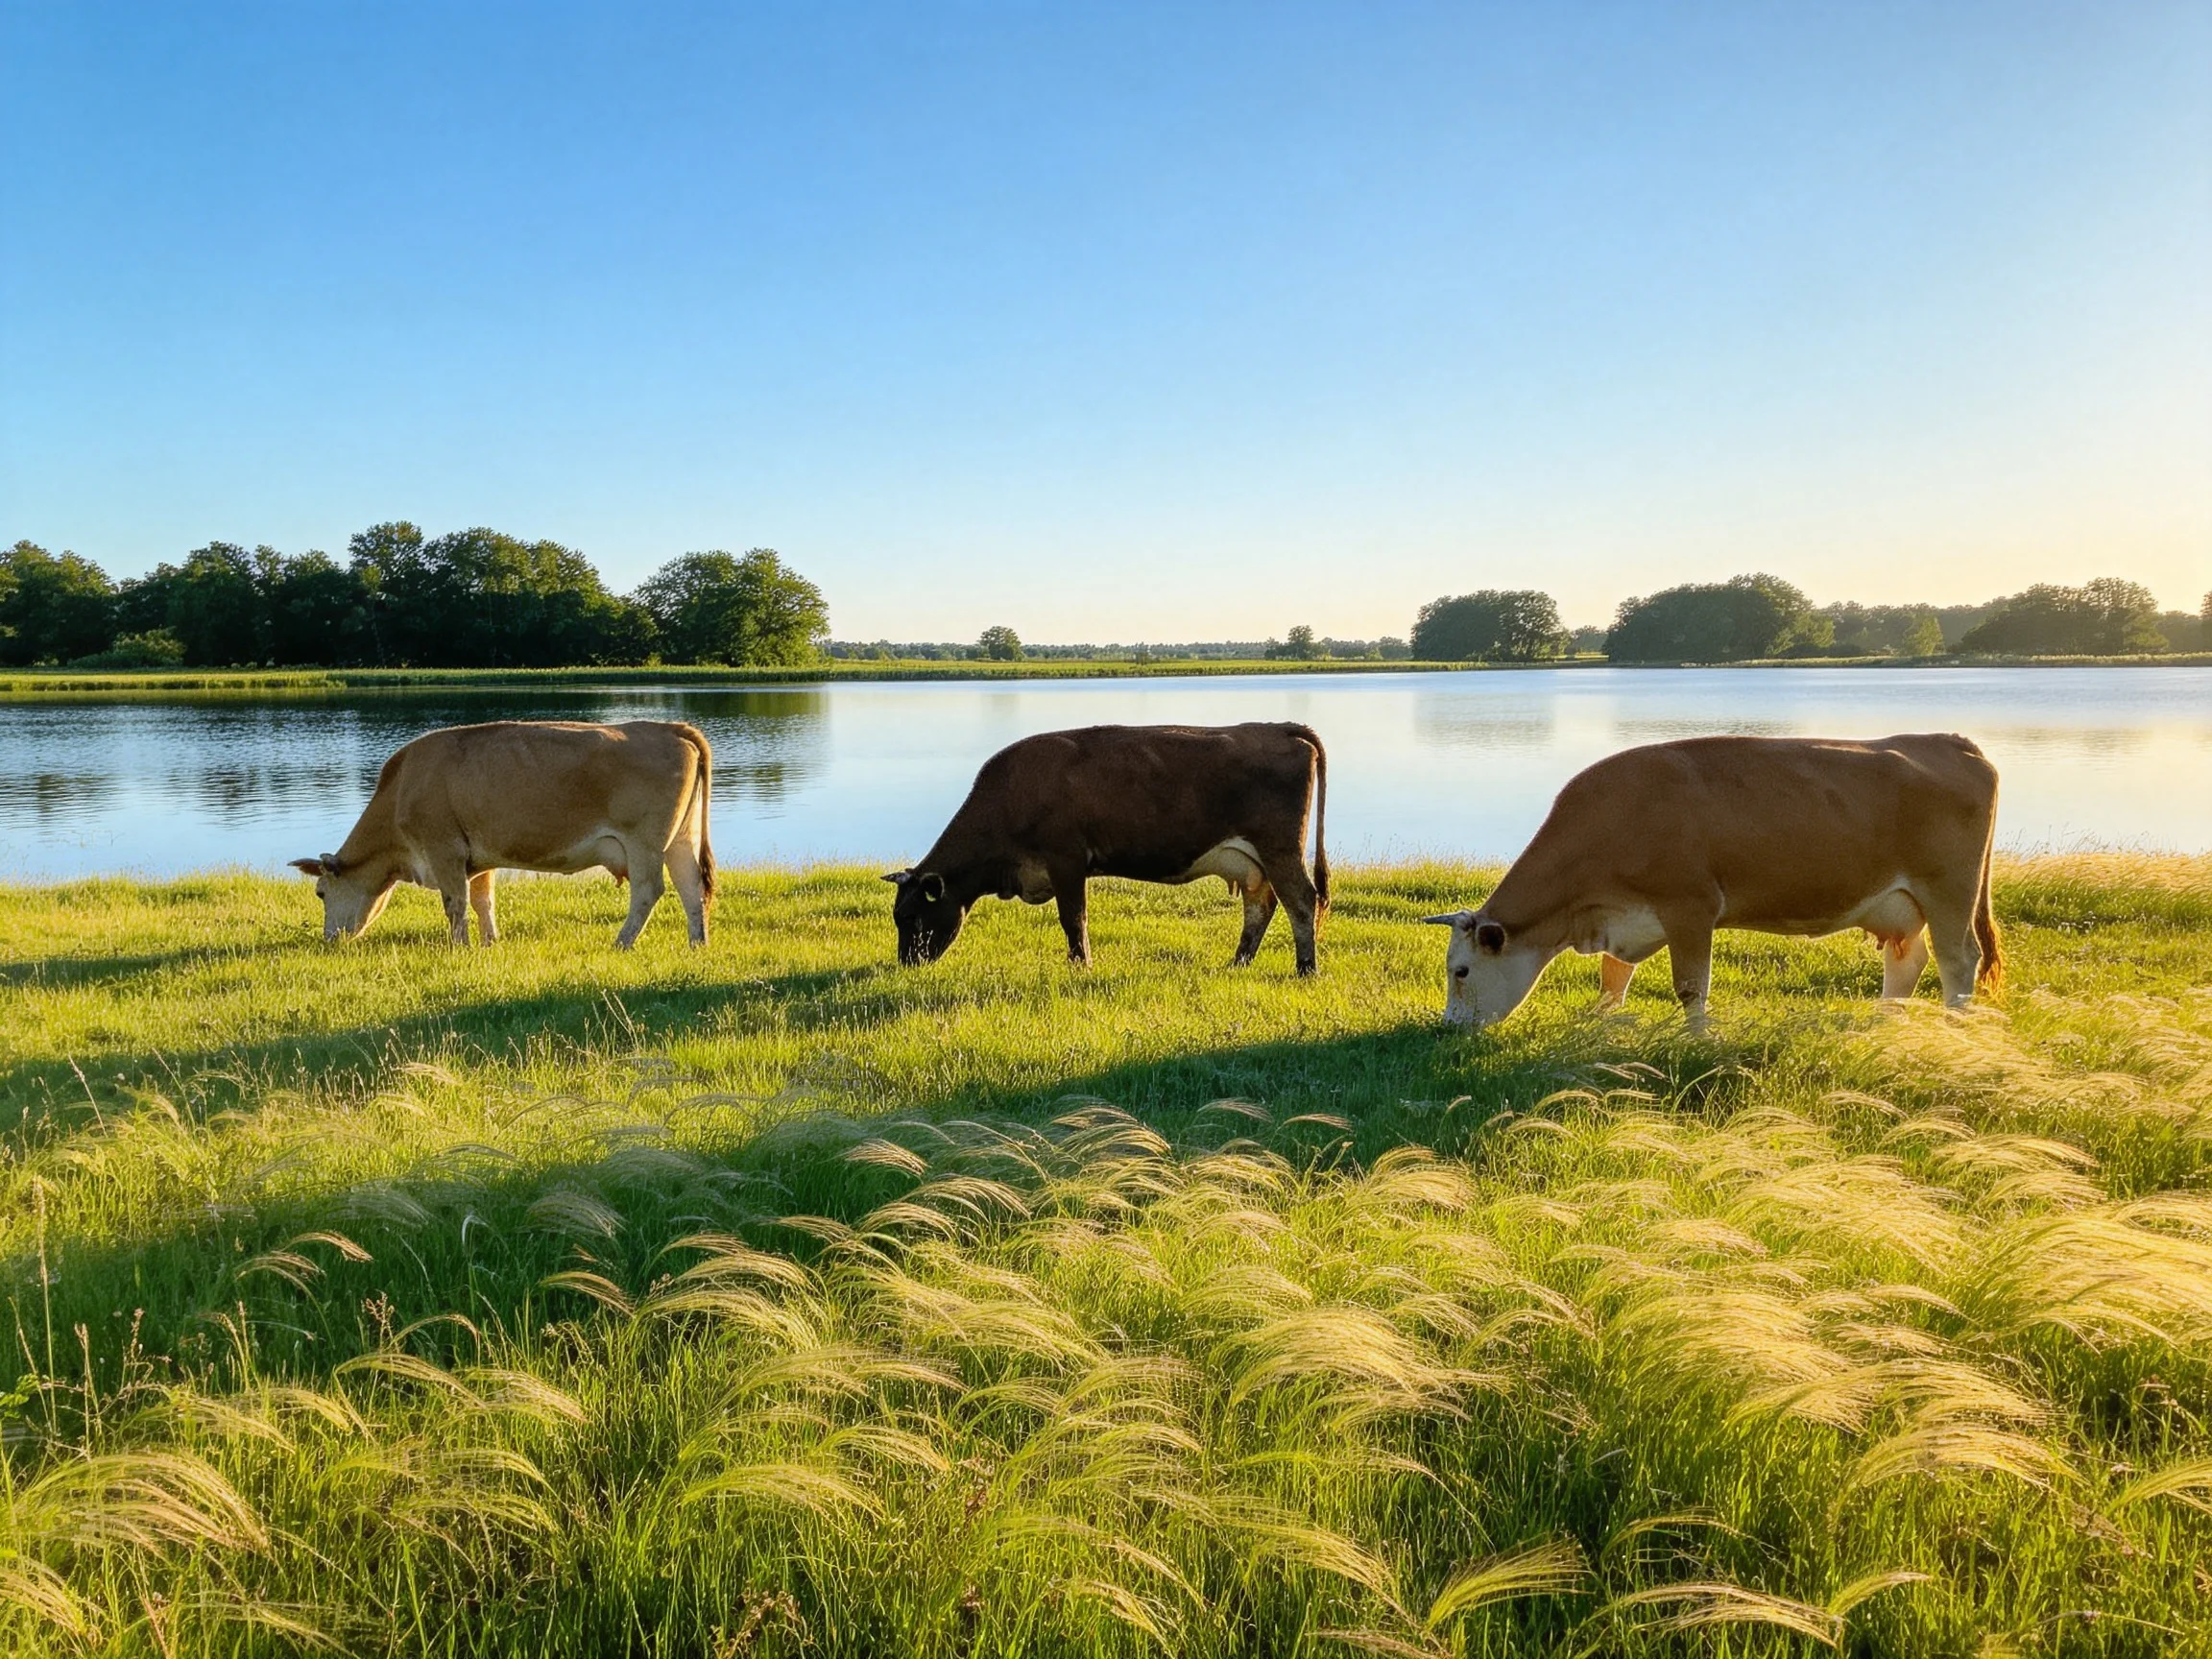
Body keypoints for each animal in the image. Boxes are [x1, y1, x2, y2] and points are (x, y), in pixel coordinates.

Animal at [290, 719, 714, 948]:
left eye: (320, 892)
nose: (330, 939)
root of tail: (668, 728)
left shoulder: (443, 850)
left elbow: (456, 903)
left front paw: (459, 947)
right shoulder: (478, 856)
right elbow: (483, 901)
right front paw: (489, 942)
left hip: (645, 842)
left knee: (648, 891)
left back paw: (621, 943)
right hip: (682, 838)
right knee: (691, 886)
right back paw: (697, 942)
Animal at [885, 722, 1330, 973]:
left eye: (912, 917)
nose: (906, 964)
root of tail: (1278, 727)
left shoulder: (1065, 860)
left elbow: (1073, 918)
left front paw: (1081, 966)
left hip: (1280, 849)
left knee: (1302, 901)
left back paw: (1306, 969)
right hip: (1253, 861)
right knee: (1261, 905)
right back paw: (1238, 963)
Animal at [1421, 733, 2001, 1025]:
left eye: (1461, 971)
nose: (1448, 1026)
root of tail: (1949, 740)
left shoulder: (1690, 907)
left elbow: (1690, 988)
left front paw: (1694, 1040)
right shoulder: (1627, 919)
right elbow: (1613, 978)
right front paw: (1599, 1025)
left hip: (1950, 888)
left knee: (1957, 961)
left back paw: (1955, 1027)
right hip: (1900, 902)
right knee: (1908, 958)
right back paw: (1885, 1022)